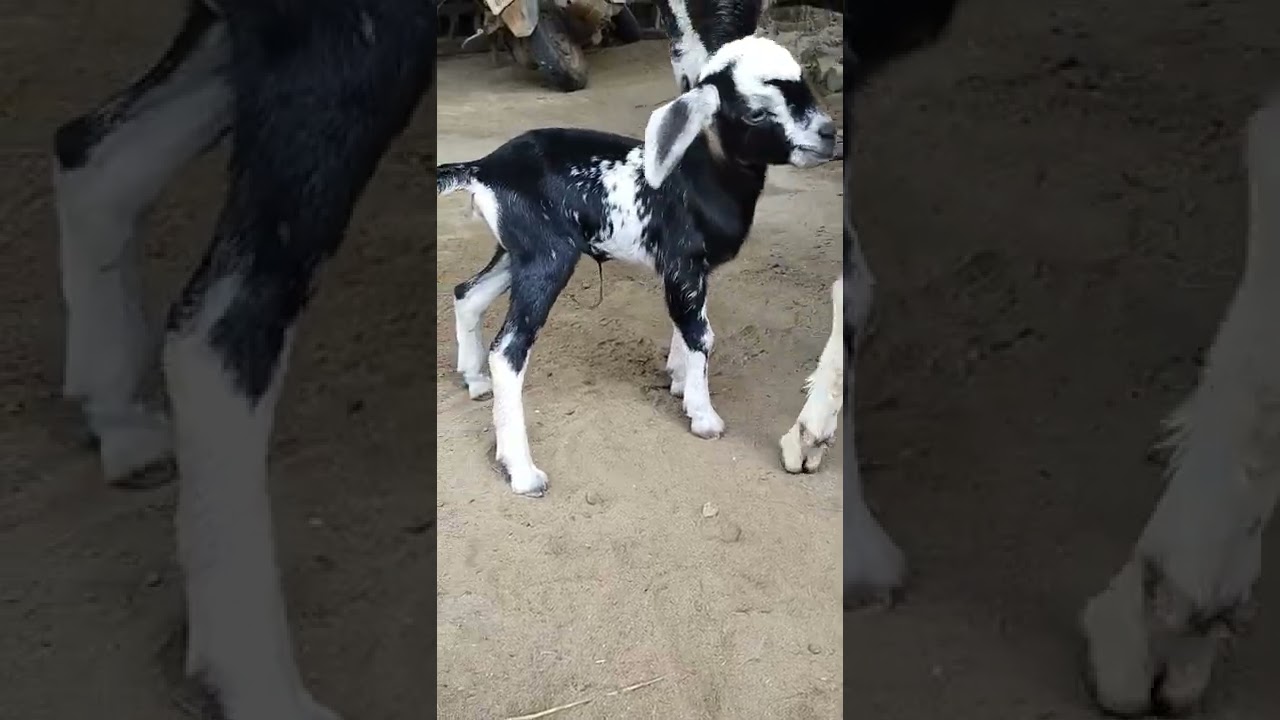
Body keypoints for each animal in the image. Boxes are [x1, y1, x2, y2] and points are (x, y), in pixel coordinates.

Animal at [436, 35, 837, 496]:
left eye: (804, 87)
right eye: (756, 111)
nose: (829, 134)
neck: (699, 177)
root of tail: (484, 168)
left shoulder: (690, 274)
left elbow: (686, 325)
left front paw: (679, 381)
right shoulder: (683, 262)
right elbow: (702, 335)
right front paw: (703, 416)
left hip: (517, 250)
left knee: (467, 294)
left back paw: (475, 380)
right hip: (548, 256)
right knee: (508, 350)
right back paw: (521, 471)